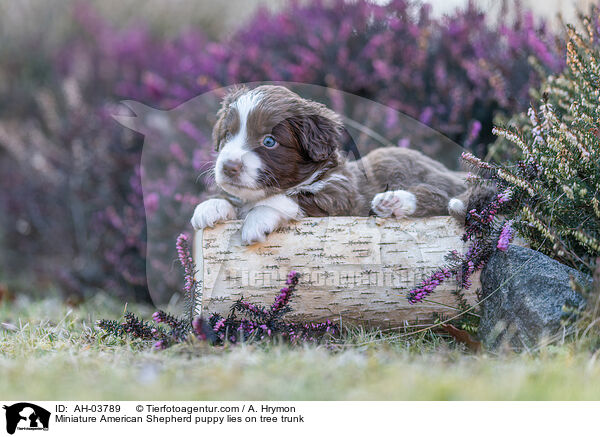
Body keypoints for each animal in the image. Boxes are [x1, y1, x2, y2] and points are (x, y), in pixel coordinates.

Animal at [192, 83, 474, 244]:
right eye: (228, 135)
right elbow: (235, 200)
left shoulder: (338, 197)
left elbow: (287, 200)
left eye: (269, 141)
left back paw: (394, 201)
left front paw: (257, 219)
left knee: (442, 194)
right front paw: (210, 207)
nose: (228, 167)